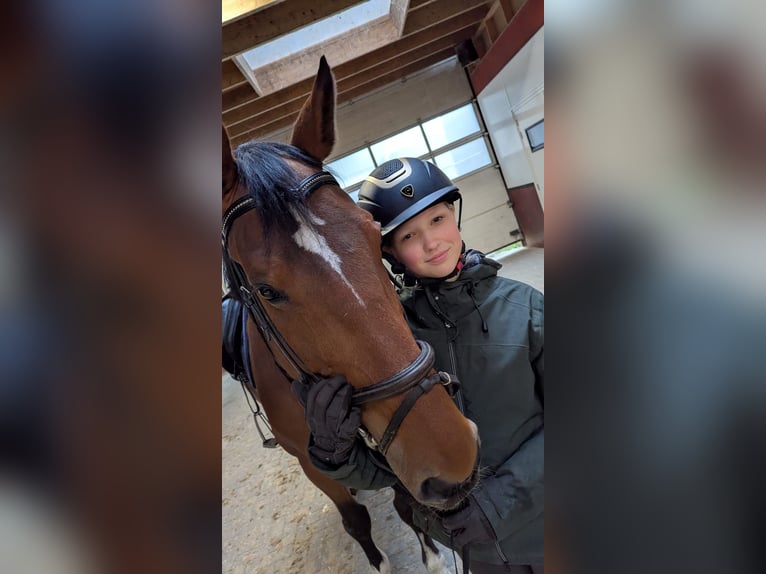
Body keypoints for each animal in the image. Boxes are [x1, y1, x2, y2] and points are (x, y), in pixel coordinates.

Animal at [222, 56, 480, 573]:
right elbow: (356, 520)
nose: (454, 459)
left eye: (373, 234)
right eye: (266, 291)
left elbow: (406, 503)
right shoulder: (313, 462)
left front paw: (432, 555)